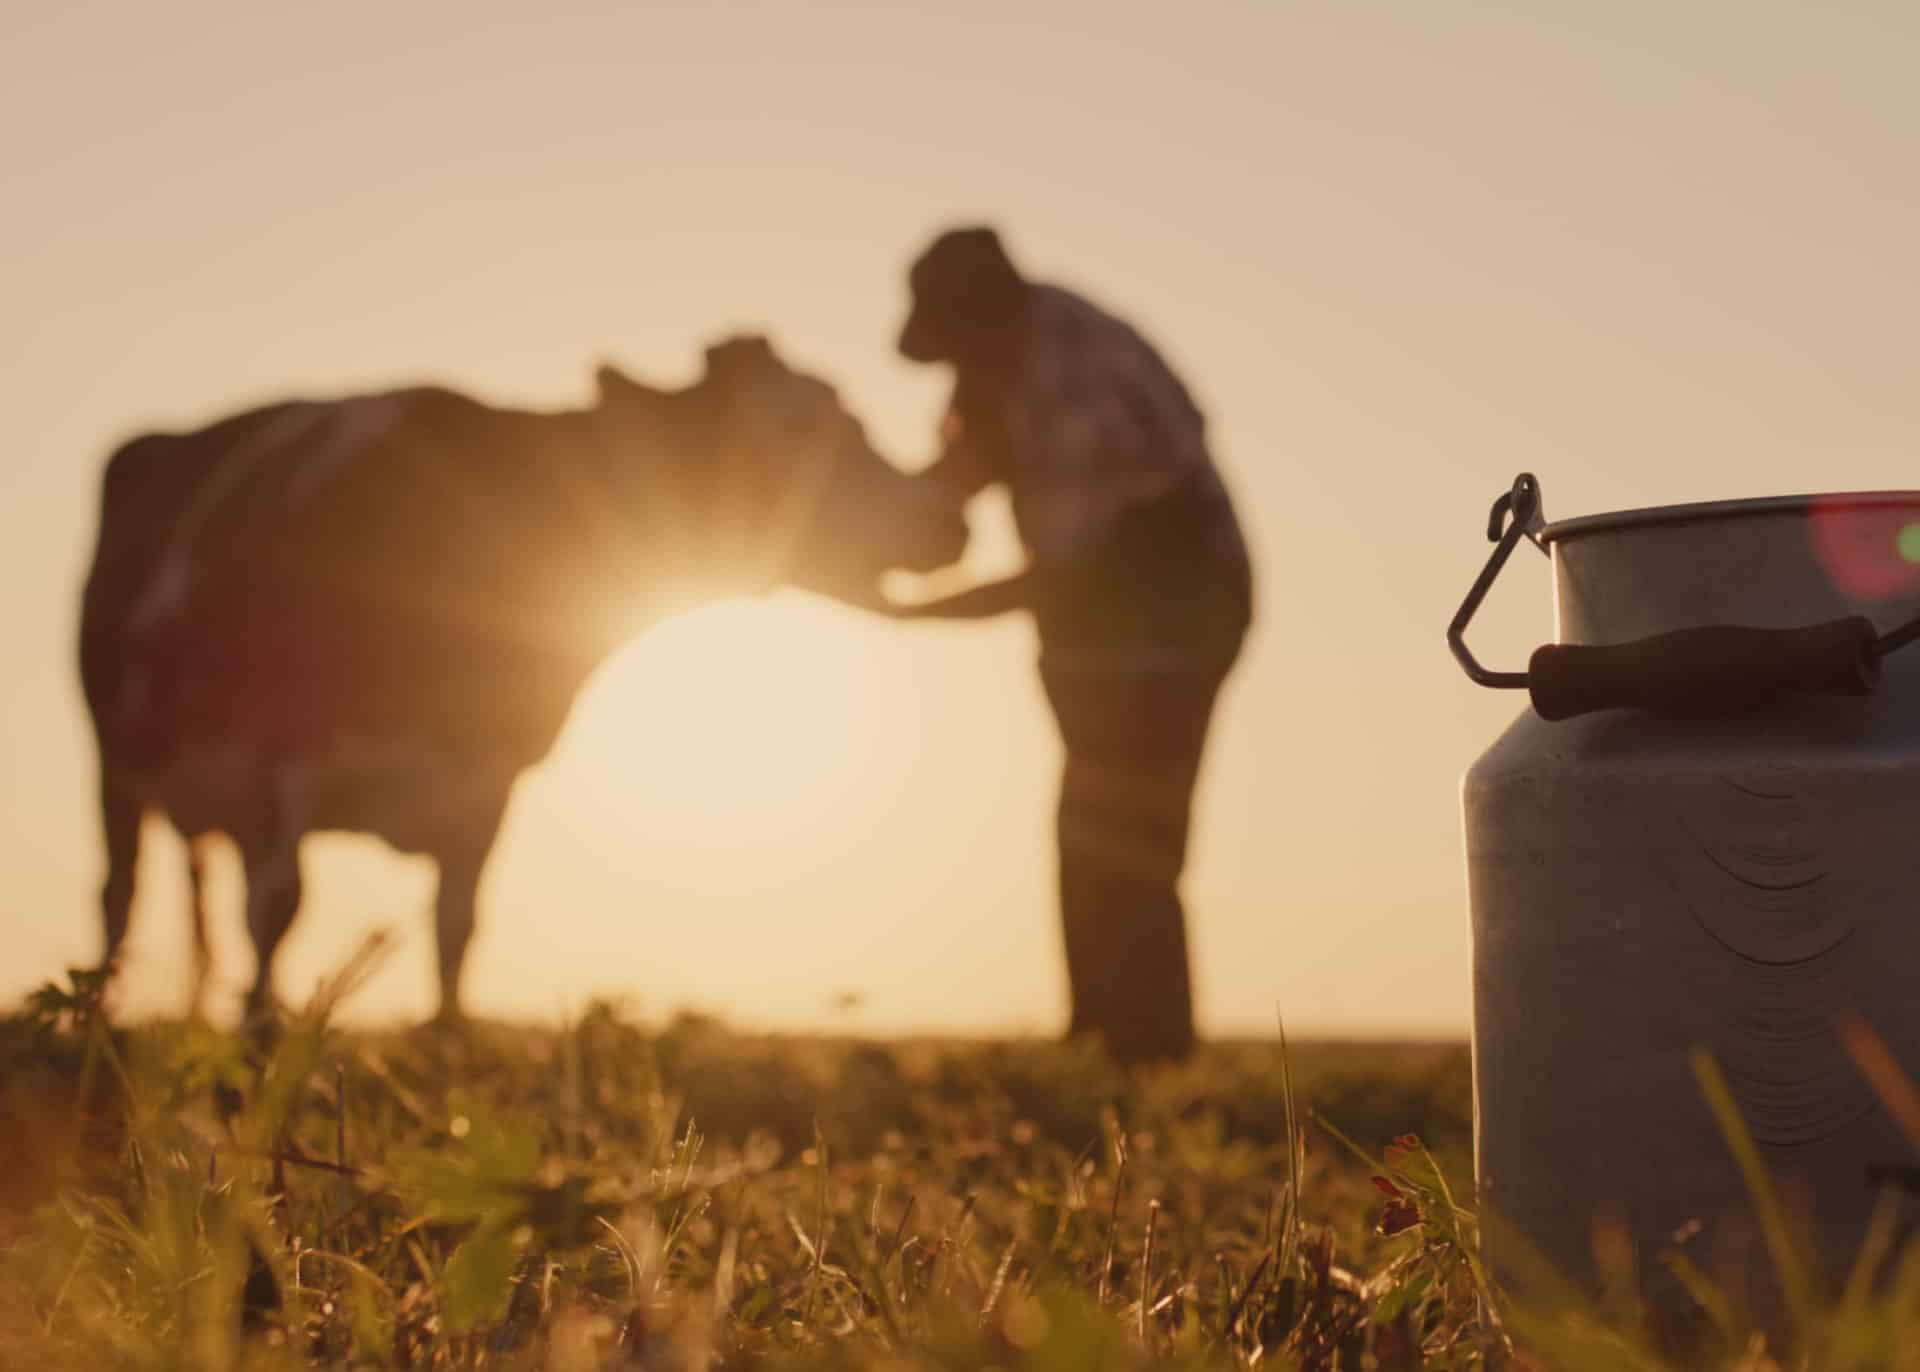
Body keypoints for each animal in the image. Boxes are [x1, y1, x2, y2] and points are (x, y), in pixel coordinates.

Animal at [80, 335, 967, 1020]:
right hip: (116, 765)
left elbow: (455, 932)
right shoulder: (281, 760)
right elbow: (277, 920)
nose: (946, 515)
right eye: (800, 426)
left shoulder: (488, 782)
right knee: (118, 900)